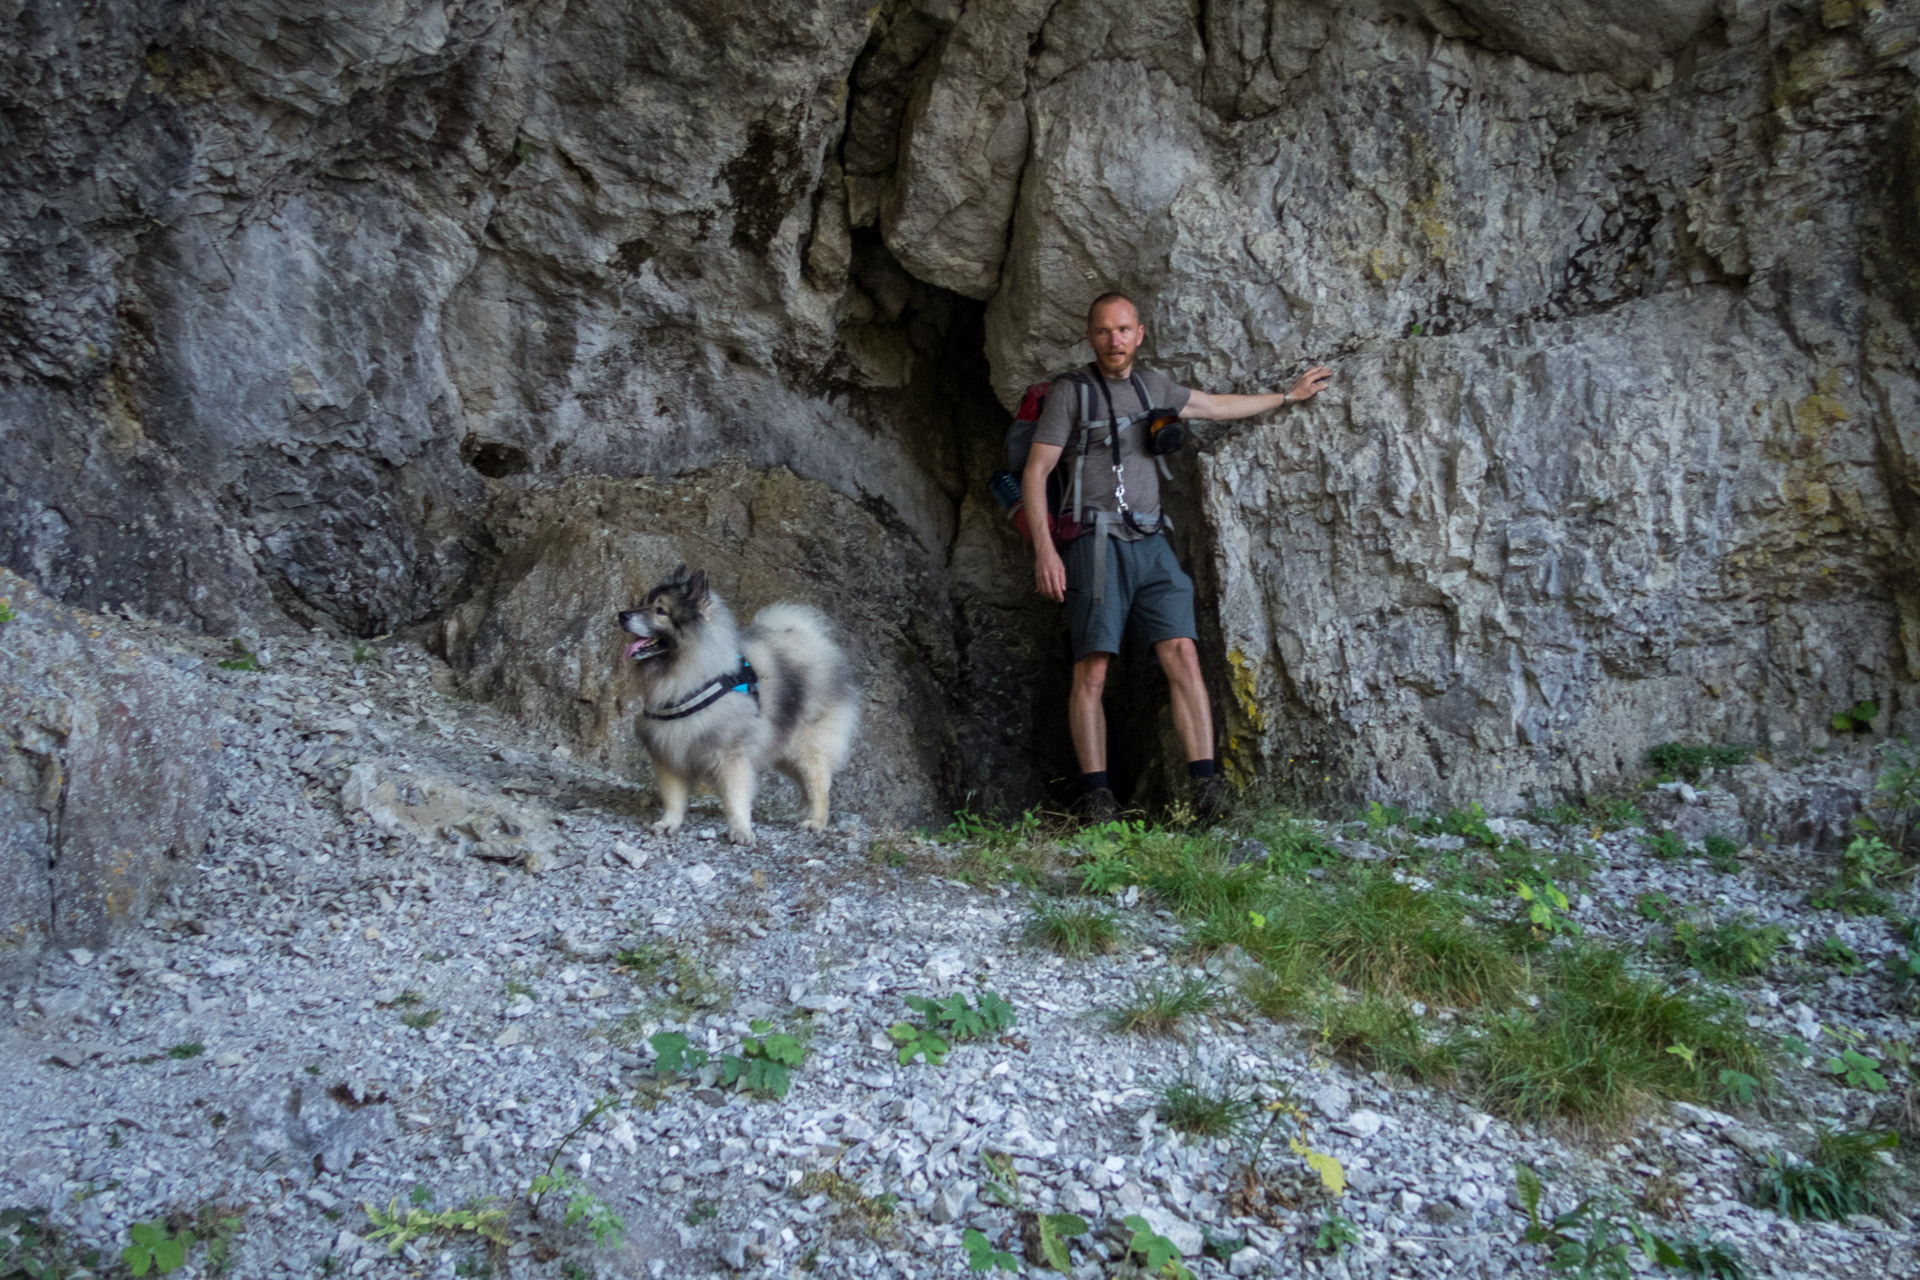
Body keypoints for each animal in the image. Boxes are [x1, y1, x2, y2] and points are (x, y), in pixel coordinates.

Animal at [618, 564, 860, 844]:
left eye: (660, 611)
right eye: (643, 604)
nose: (622, 615)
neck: (692, 678)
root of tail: (815, 643)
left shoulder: (730, 756)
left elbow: (735, 799)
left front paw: (741, 831)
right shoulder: (668, 753)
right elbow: (674, 799)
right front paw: (669, 823)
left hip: (806, 748)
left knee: (819, 785)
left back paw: (816, 822)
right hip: (784, 750)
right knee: (804, 784)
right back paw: (800, 814)